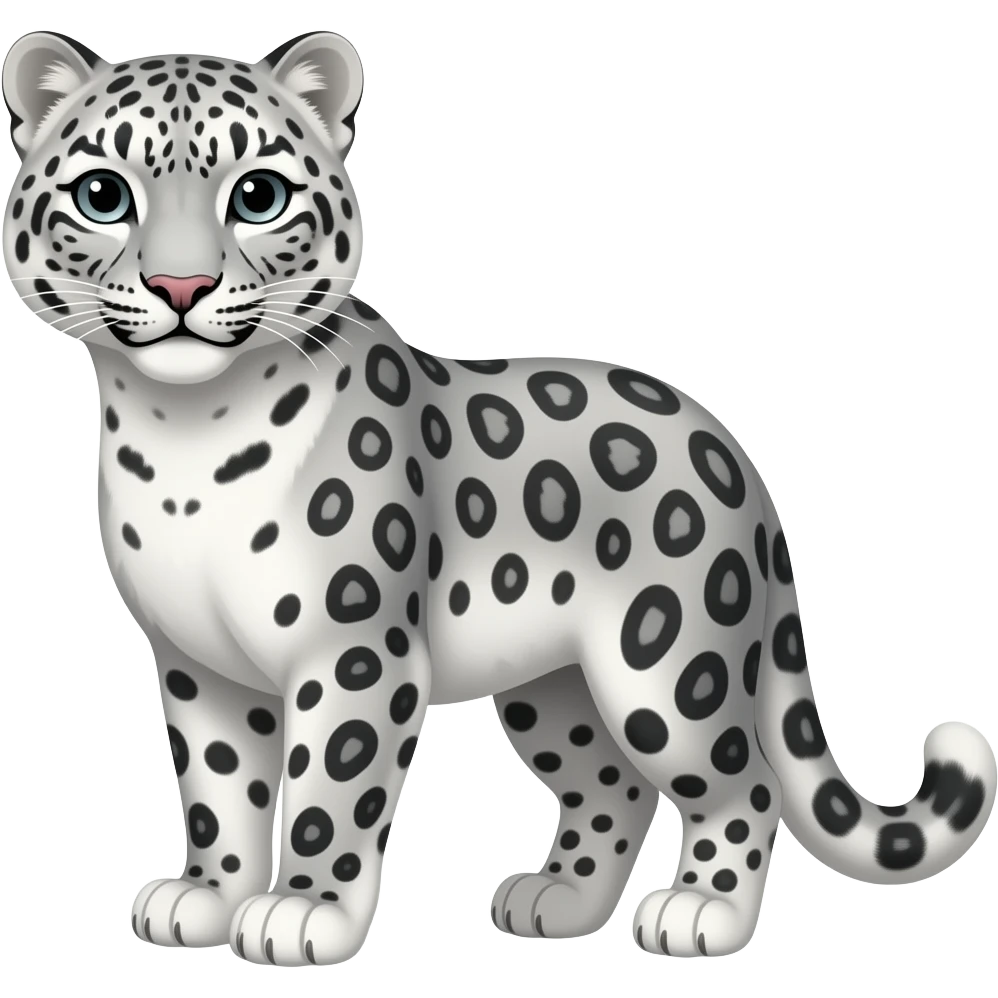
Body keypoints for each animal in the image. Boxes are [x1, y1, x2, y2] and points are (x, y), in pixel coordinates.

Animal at [3, 27, 996, 967]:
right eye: (103, 195)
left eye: (257, 195)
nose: (181, 286)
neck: (184, 436)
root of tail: (731, 451)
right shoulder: (195, 662)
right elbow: (218, 789)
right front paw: (206, 894)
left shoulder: (353, 649)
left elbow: (330, 789)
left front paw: (304, 911)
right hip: (552, 688)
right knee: (612, 784)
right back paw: (558, 902)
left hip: (668, 668)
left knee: (740, 781)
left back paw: (699, 912)